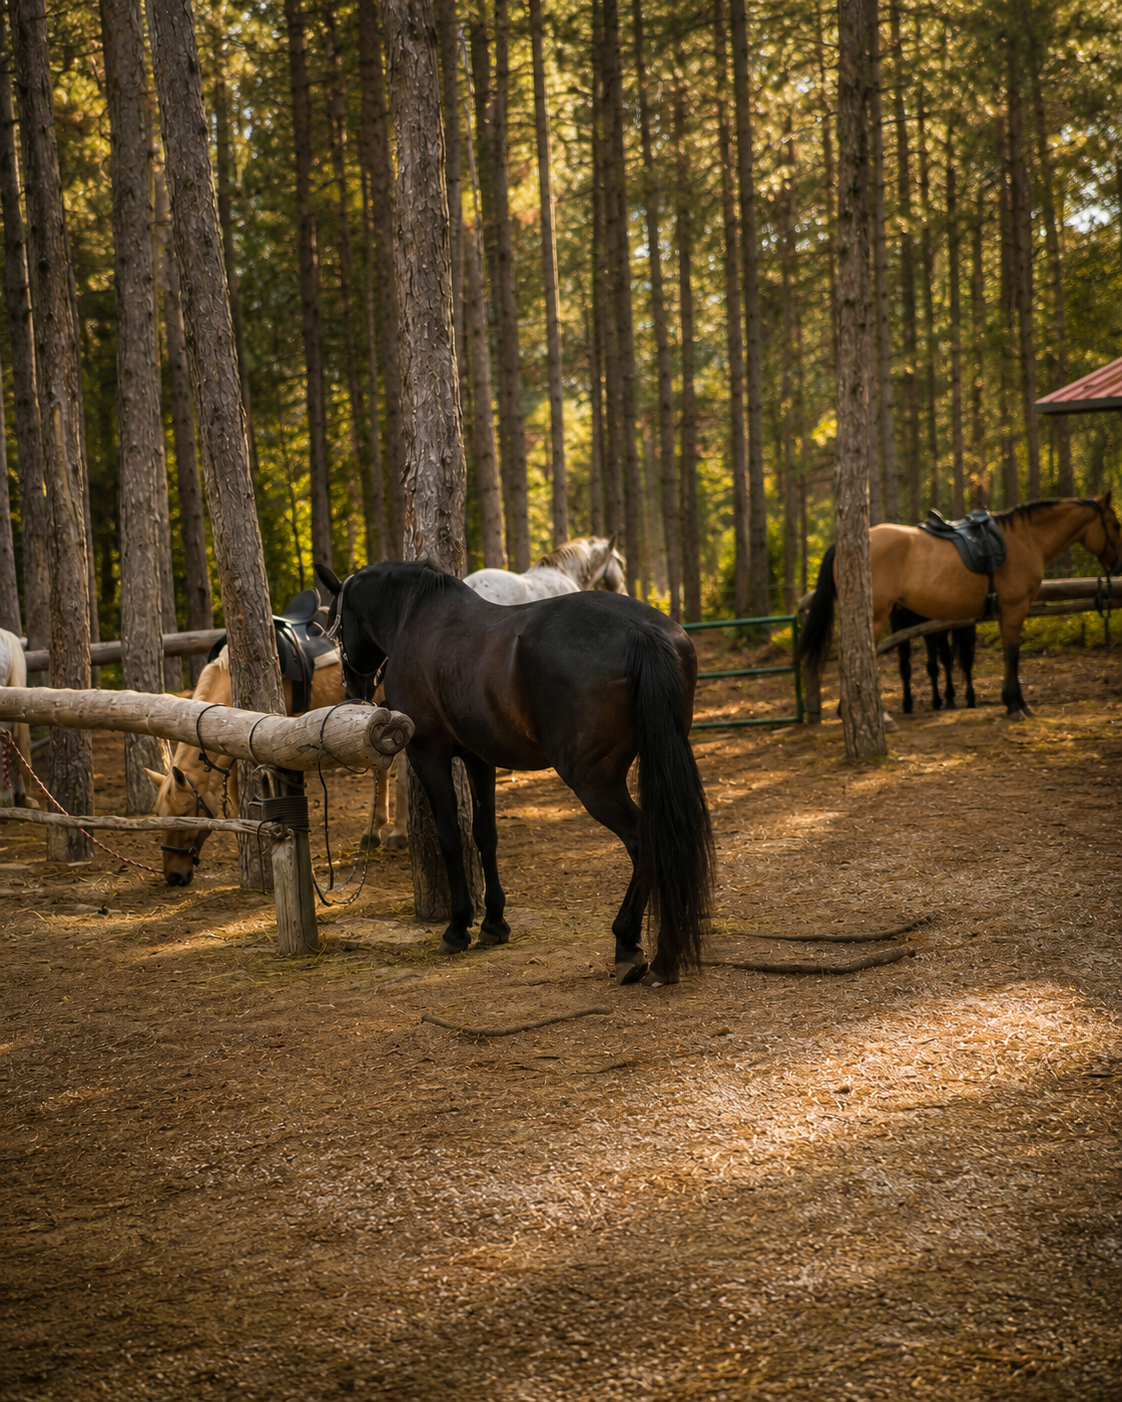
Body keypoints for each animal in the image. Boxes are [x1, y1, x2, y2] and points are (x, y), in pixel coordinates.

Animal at [317, 558, 713, 988]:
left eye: (334, 627)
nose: (353, 690)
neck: (415, 619)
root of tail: (640, 631)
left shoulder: (429, 756)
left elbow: (450, 837)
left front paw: (457, 927)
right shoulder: (479, 758)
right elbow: (484, 835)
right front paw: (493, 923)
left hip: (594, 782)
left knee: (645, 840)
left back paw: (629, 944)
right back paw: (664, 957)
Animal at [800, 495, 1122, 719]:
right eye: (1116, 524)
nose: (1117, 563)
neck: (1024, 539)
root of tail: (843, 546)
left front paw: (1012, 702)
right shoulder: (1014, 609)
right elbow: (1012, 654)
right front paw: (1015, 704)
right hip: (877, 617)